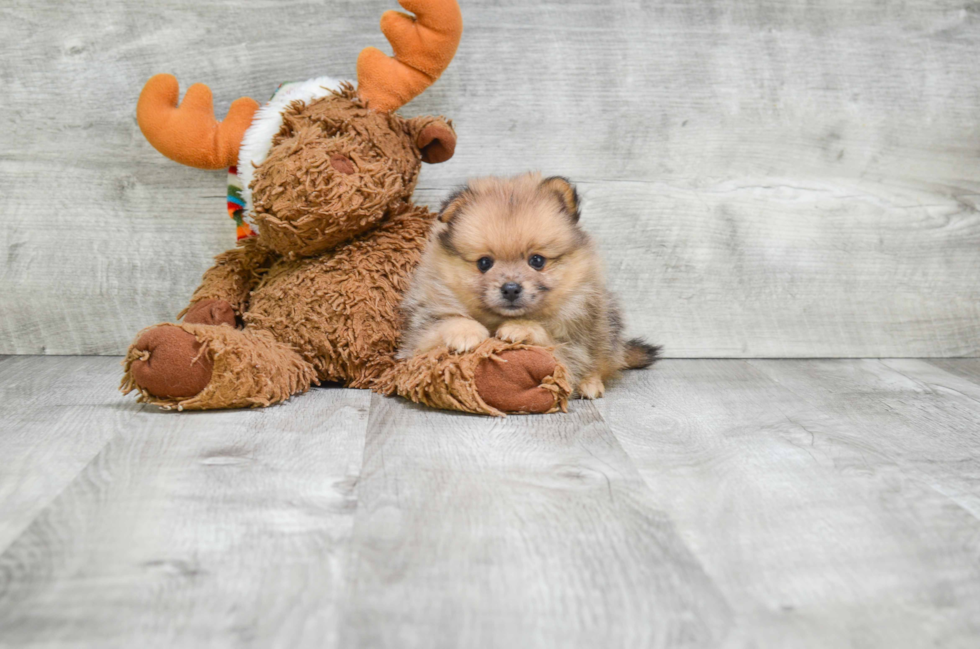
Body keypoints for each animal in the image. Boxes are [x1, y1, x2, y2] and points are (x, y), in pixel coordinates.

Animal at [398, 172, 660, 398]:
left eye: (537, 260)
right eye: (484, 263)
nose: (511, 288)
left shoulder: (571, 346)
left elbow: (551, 343)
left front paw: (521, 328)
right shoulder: (414, 343)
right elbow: (439, 327)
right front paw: (466, 331)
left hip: (604, 328)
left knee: (602, 362)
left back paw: (590, 383)